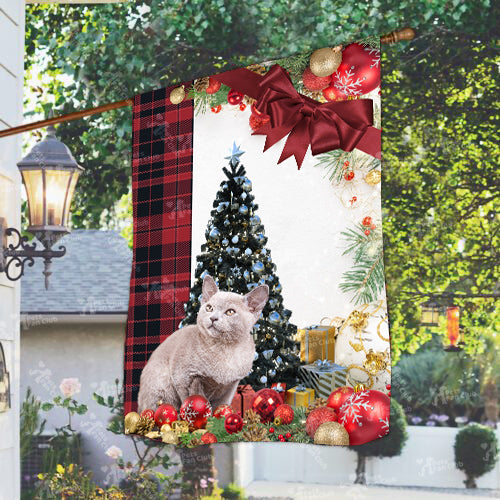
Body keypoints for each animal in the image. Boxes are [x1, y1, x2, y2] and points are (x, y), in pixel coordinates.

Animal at [137, 276, 270, 412]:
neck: (225, 350)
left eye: (230, 312)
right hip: (162, 387)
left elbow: (220, 406)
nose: (213, 318)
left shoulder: (230, 387)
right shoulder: (184, 378)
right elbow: (189, 399)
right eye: (209, 308)